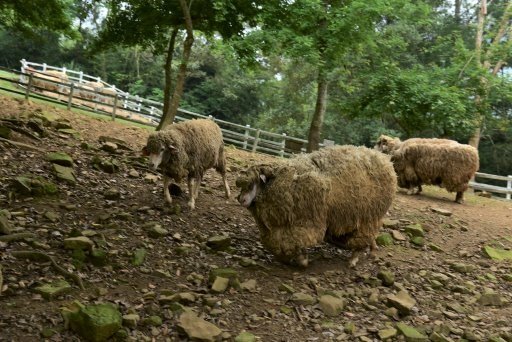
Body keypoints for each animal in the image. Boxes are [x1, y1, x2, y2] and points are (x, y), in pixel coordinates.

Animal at [236, 144, 396, 268]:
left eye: (252, 184)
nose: (240, 199)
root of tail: (385, 160)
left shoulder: (305, 223)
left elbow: (296, 243)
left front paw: (303, 261)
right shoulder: (280, 228)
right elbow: (278, 245)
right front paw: (293, 259)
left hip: (369, 216)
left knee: (363, 237)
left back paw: (353, 259)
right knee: (366, 237)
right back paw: (370, 250)